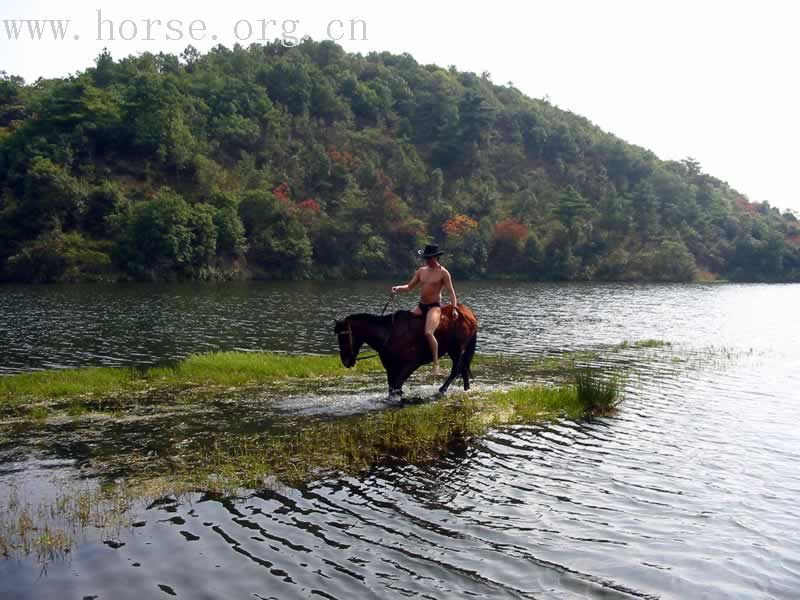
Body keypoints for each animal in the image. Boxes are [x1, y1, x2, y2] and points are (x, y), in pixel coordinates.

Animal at [334, 304, 478, 398]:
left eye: (344, 336)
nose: (345, 361)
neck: (388, 334)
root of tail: (468, 313)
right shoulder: (390, 367)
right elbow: (392, 387)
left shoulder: (411, 364)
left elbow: (397, 385)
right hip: (453, 350)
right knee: (463, 369)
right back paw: (466, 390)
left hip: (457, 349)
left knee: (456, 369)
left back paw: (442, 389)